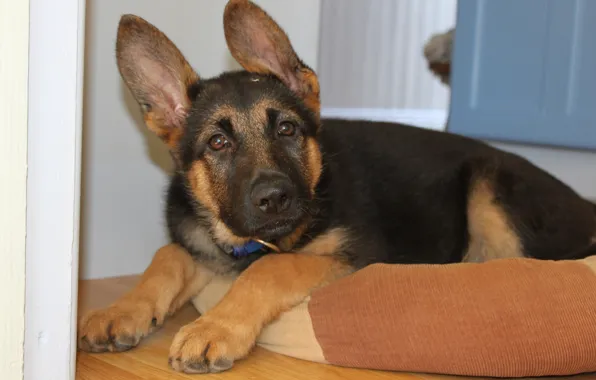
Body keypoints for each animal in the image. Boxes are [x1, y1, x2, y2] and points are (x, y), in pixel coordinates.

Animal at [78, 0, 596, 374]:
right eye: (218, 143)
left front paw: (215, 327)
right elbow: (167, 255)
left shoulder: (354, 253)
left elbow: (272, 269)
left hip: (490, 184)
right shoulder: (201, 243)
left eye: (287, 129)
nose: (275, 199)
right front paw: (119, 310)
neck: (247, 244)